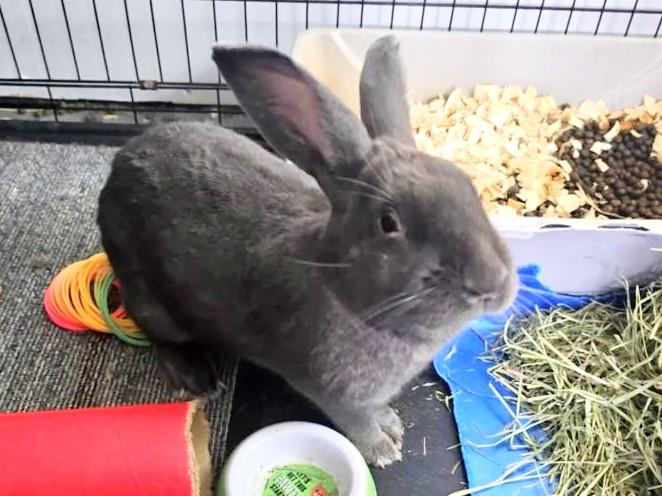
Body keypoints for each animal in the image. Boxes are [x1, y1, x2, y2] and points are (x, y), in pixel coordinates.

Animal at [97, 35, 517, 468]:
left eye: (467, 187)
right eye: (388, 222)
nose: (492, 284)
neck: (340, 286)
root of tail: (119, 165)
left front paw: (391, 424)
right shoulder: (332, 392)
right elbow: (357, 422)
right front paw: (383, 450)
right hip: (151, 296)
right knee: (154, 329)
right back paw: (195, 376)